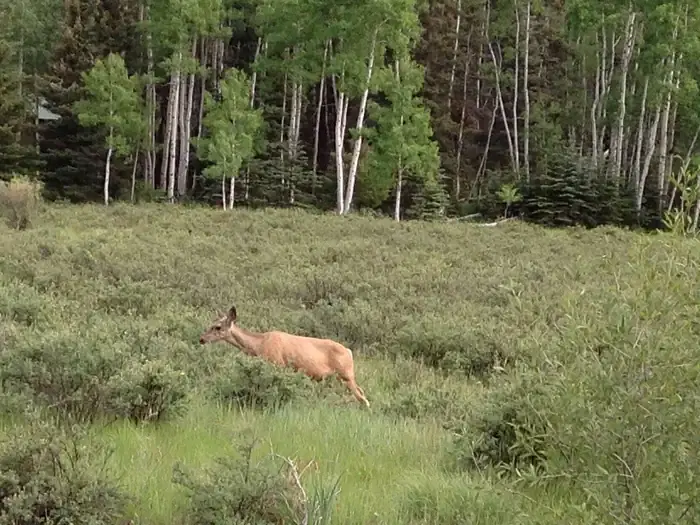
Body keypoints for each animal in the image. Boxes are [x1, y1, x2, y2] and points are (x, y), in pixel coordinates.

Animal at [199, 305, 370, 408]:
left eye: (217, 327)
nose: (201, 339)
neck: (259, 344)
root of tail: (349, 351)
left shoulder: (277, 363)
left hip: (345, 374)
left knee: (362, 398)